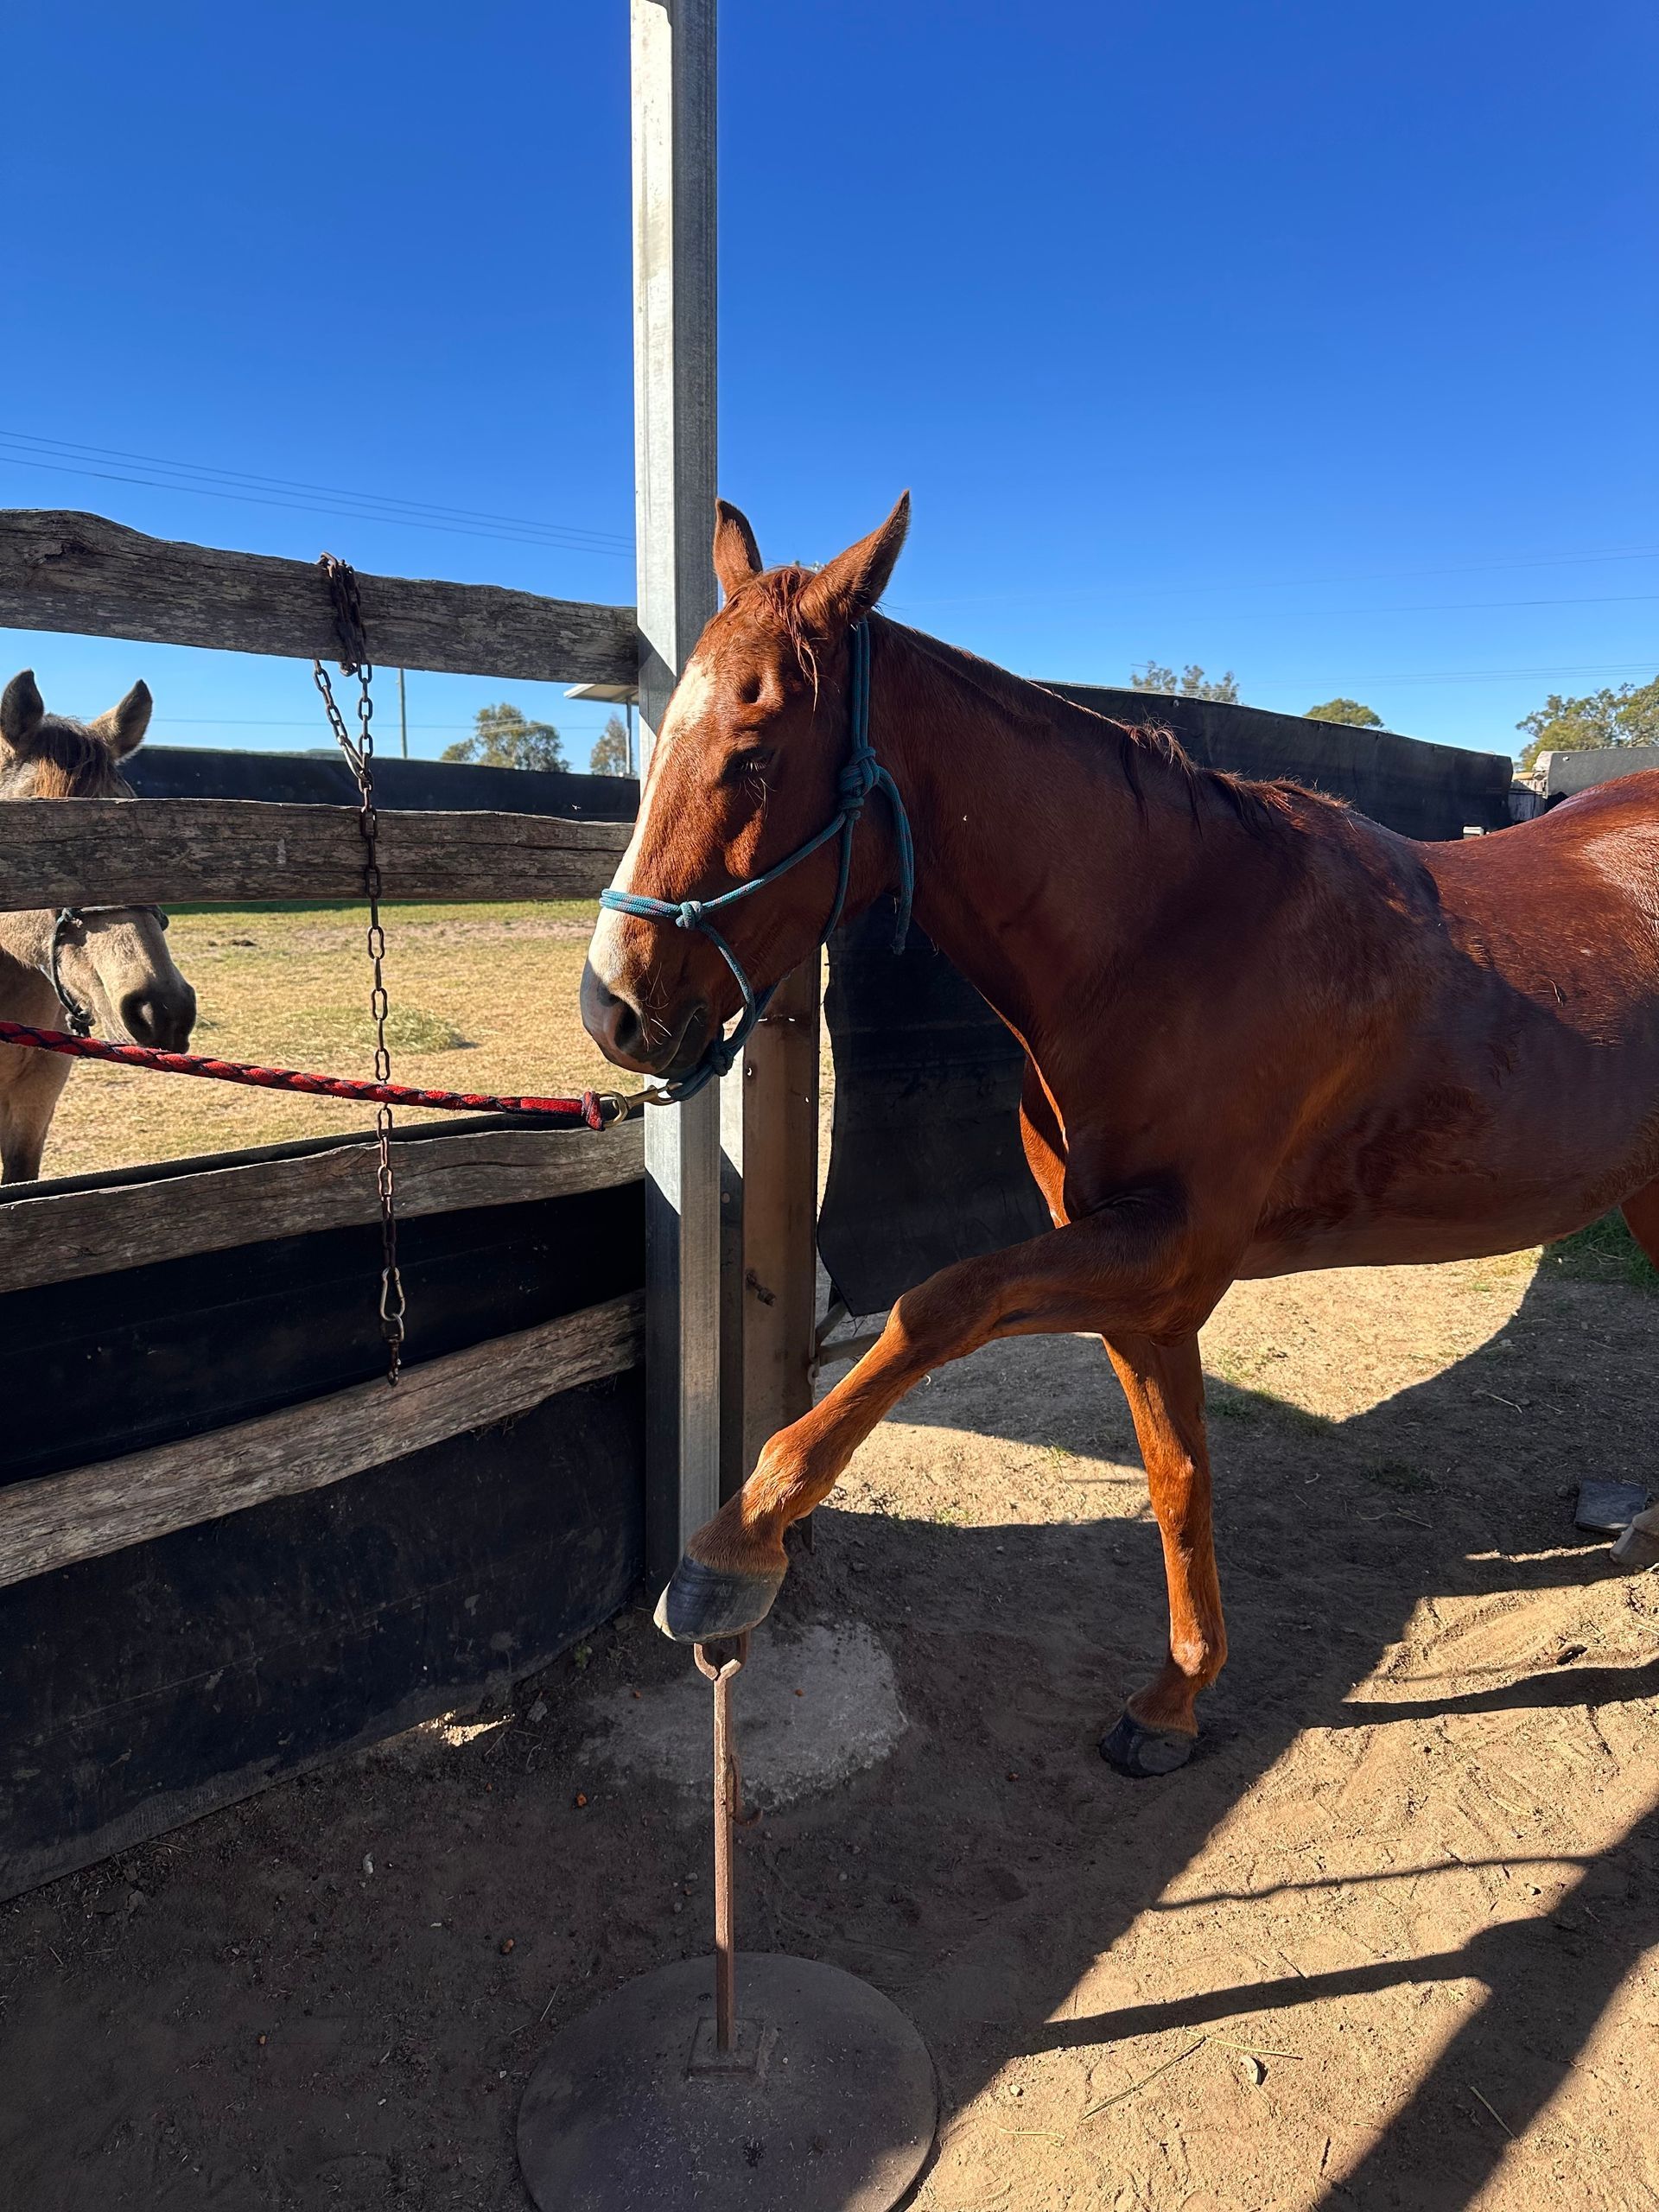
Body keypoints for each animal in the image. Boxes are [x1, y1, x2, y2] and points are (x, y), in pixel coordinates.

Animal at [581, 496, 1659, 1778]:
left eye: (752, 755)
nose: (611, 1007)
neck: (1166, 939)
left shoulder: (1169, 1249)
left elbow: (934, 1306)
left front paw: (730, 1551)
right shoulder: (1141, 1284)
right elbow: (1176, 1475)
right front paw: (1175, 1699)